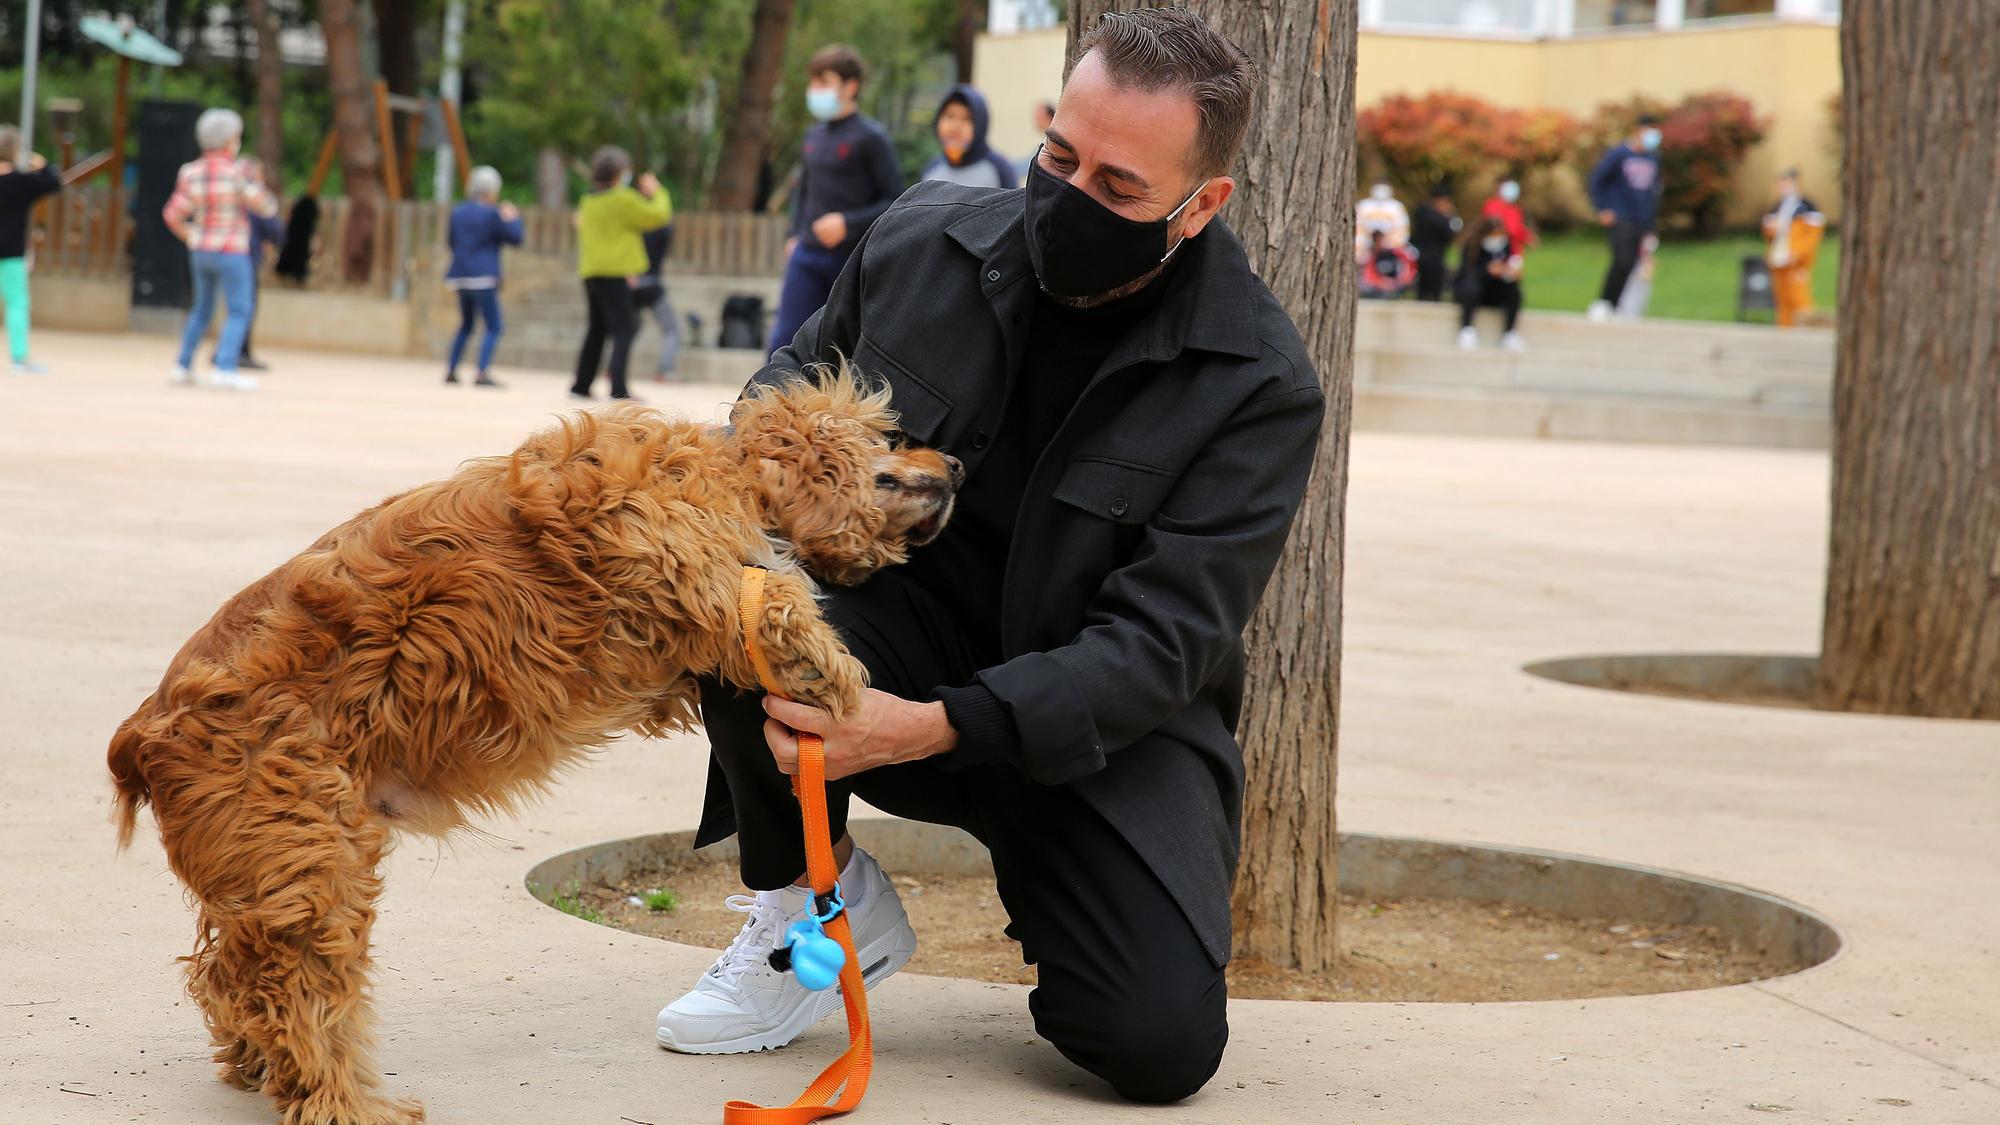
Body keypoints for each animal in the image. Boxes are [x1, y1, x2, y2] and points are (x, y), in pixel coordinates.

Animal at [107, 370, 960, 1120]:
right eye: (893, 436)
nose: (956, 464)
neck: (734, 474)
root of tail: (143, 729)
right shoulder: (686, 565)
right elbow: (776, 596)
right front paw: (836, 672)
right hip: (312, 871)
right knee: (290, 995)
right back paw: (346, 1101)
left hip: (276, 873)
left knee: (226, 976)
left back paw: (255, 1063)